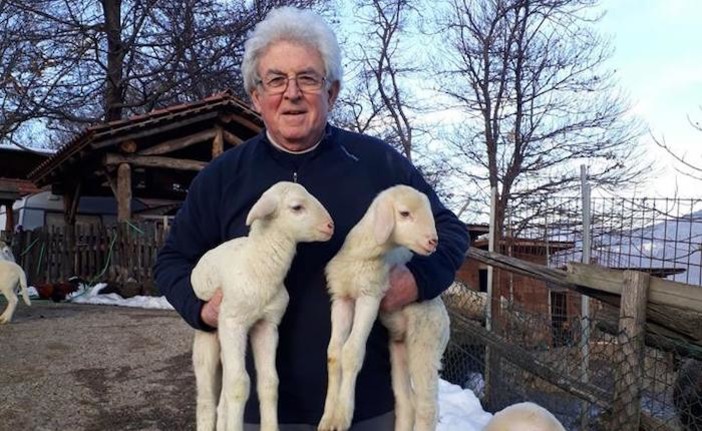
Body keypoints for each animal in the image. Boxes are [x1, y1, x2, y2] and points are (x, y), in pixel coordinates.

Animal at [190, 181, 336, 431]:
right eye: (297, 207)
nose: (330, 226)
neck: (257, 263)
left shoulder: (266, 324)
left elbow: (269, 383)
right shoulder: (232, 321)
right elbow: (239, 385)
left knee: (224, 392)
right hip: (207, 335)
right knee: (207, 400)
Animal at [320, 186, 452, 431]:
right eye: (404, 213)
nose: (433, 242)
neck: (361, 254)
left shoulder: (371, 295)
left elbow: (351, 352)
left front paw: (342, 415)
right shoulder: (342, 298)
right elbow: (334, 353)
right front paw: (328, 417)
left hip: (425, 342)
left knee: (427, 407)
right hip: (400, 350)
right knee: (407, 402)